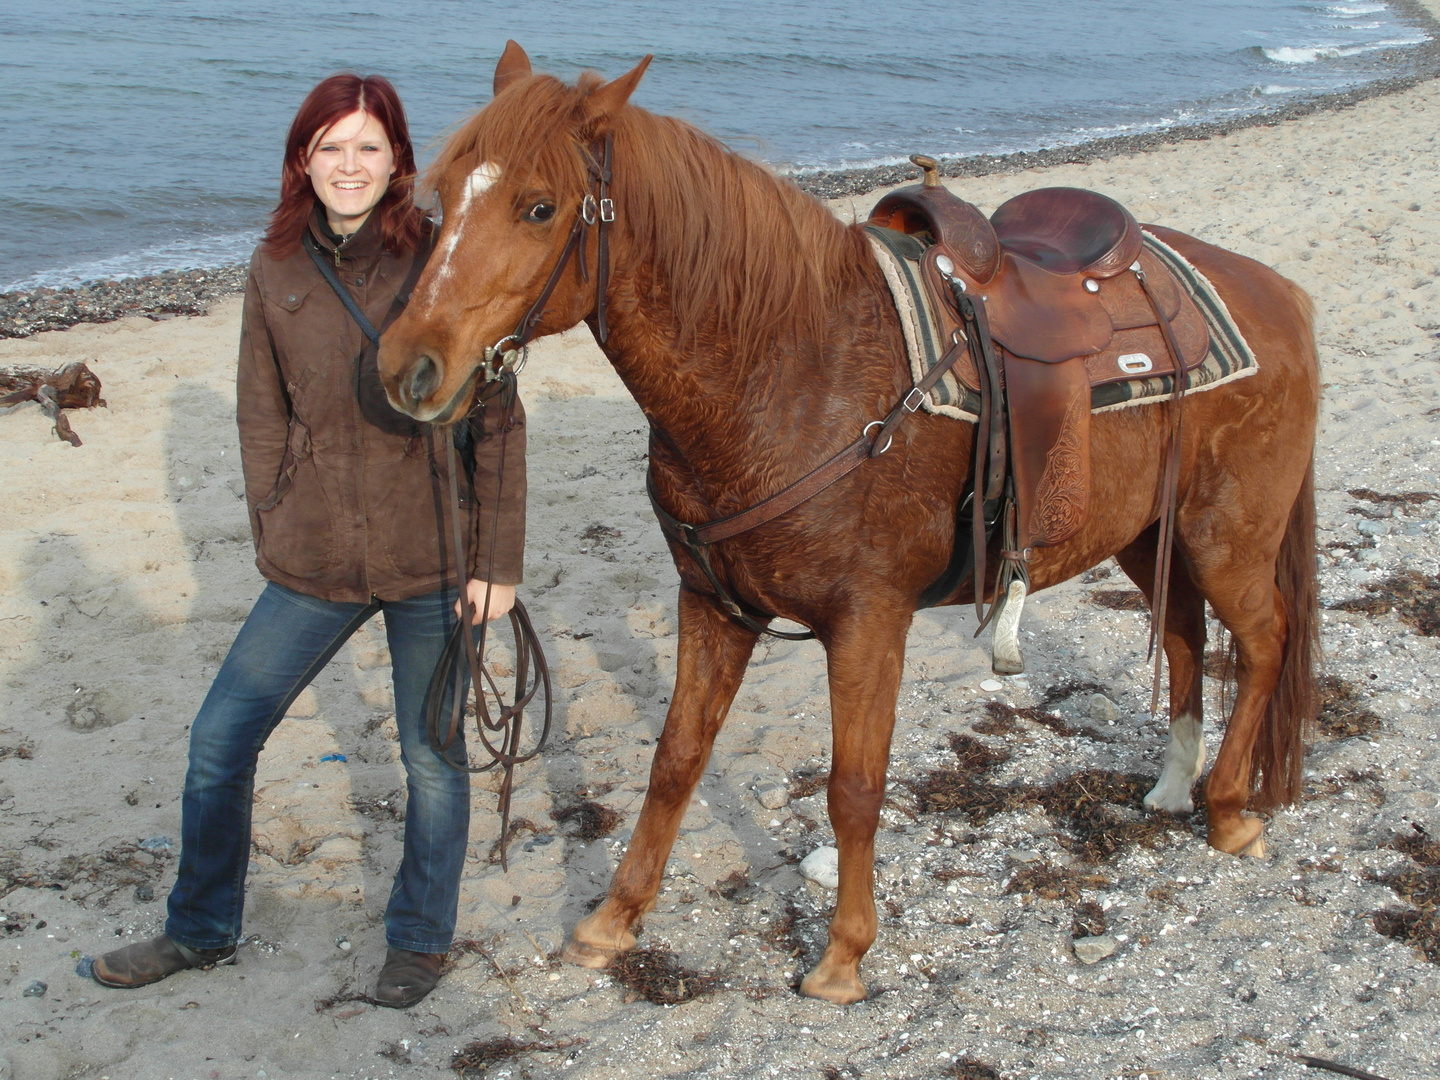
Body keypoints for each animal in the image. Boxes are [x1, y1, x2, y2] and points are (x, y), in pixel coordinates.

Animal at [380, 44, 1319, 1008]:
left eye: (538, 207)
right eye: (439, 199)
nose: (407, 369)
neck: (797, 370)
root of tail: (1276, 293)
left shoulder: (869, 620)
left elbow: (854, 787)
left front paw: (843, 956)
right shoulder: (712, 605)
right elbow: (676, 757)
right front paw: (613, 919)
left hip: (1229, 538)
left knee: (1264, 643)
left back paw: (1230, 810)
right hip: (1150, 536)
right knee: (1184, 636)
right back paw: (1172, 786)